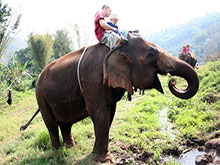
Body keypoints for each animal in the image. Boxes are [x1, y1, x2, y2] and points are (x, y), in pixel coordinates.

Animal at [21, 32, 199, 163]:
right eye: (151, 54)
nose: (173, 80)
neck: (117, 46)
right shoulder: (93, 79)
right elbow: (100, 112)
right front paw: (105, 160)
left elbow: (110, 113)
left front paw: (98, 155)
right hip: (40, 96)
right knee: (51, 124)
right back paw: (58, 154)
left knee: (65, 124)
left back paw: (72, 150)